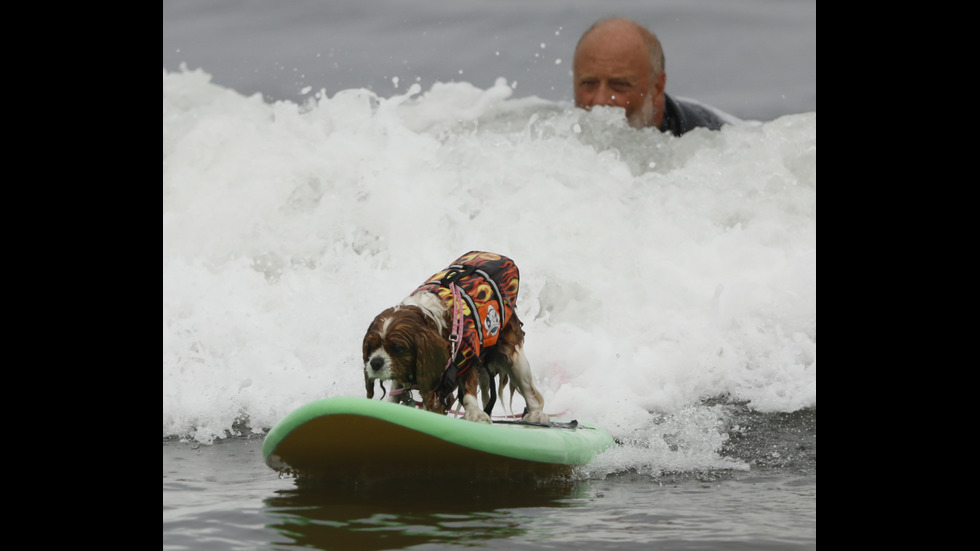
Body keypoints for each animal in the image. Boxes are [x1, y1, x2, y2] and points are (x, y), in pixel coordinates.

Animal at [362, 252, 552, 424]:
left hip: (513, 357)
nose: (375, 363)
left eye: (397, 348)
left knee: (529, 391)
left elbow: (468, 390)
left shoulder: (468, 356)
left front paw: (474, 413)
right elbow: (397, 388)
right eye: (371, 347)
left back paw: (536, 415)